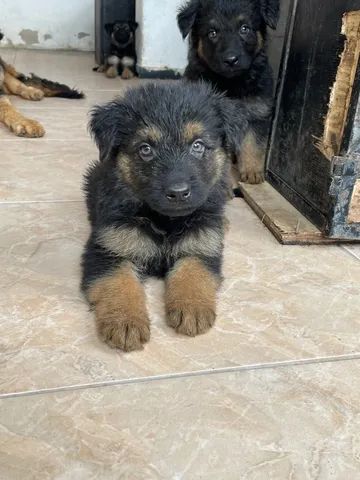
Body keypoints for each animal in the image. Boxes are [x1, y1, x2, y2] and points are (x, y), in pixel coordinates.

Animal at [81, 80, 252, 350]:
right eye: (146, 149)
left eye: (197, 145)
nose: (178, 192)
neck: (165, 221)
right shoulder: (108, 250)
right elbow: (119, 282)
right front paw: (126, 321)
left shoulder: (202, 245)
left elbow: (193, 271)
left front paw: (192, 307)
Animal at [178, 0, 282, 185]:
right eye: (212, 33)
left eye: (244, 28)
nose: (231, 60)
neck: (231, 83)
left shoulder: (258, 113)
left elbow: (253, 145)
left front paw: (252, 171)